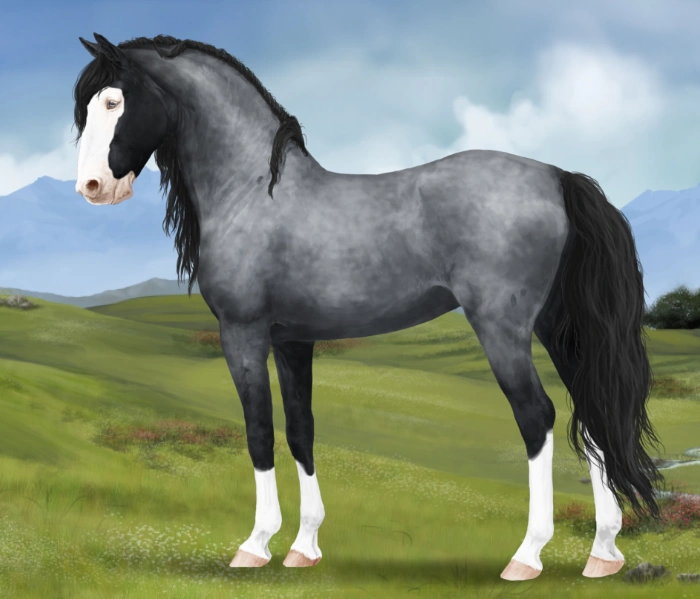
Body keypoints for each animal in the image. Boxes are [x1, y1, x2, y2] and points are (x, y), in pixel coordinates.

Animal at [72, 33, 663, 580]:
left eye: (113, 101)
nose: (92, 187)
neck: (252, 191)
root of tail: (556, 178)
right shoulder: (292, 340)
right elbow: (301, 430)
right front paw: (303, 547)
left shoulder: (243, 334)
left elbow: (259, 431)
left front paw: (255, 545)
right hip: (556, 328)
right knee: (591, 416)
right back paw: (603, 554)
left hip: (504, 329)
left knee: (537, 418)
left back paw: (527, 556)